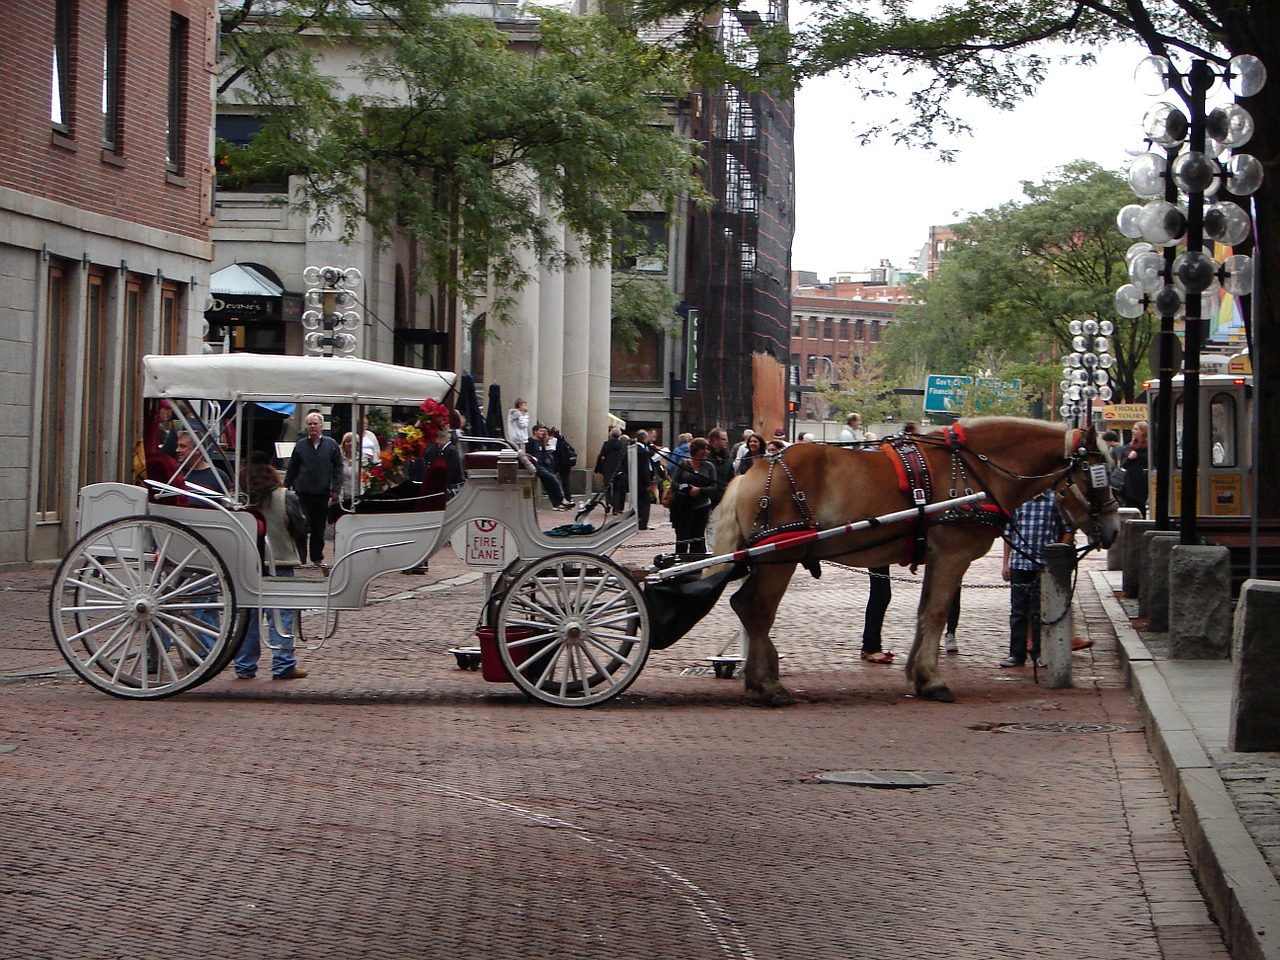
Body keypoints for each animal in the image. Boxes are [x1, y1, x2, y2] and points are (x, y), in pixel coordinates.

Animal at [711, 419, 1121, 706]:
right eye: (1097, 473)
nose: (1113, 529)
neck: (976, 470)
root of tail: (753, 470)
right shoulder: (952, 556)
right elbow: (938, 613)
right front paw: (933, 679)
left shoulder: (938, 559)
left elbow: (925, 613)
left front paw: (919, 676)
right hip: (781, 557)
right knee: (756, 609)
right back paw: (768, 685)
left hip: (767, 559)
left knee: (746, 608)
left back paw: (759, 677)